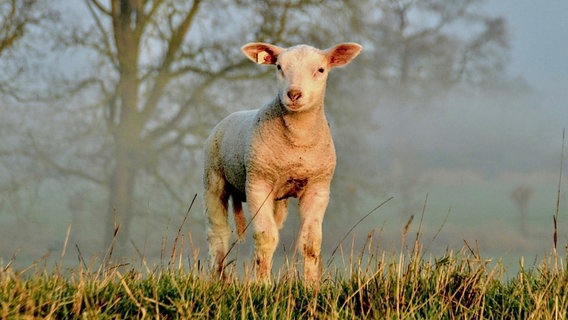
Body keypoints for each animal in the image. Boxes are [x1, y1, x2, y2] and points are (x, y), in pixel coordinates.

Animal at [204, 42, 362, 282]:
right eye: (279, 67)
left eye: (321, 70)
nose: (294, 94)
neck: (297, 140)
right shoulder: (258, 182)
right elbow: (265, 237)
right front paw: (263, 284)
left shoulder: (318, 187)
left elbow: (310, 242)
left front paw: (311, 285)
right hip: (214, 179)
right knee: (218, 233)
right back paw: (218, 279)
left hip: (278, 199)